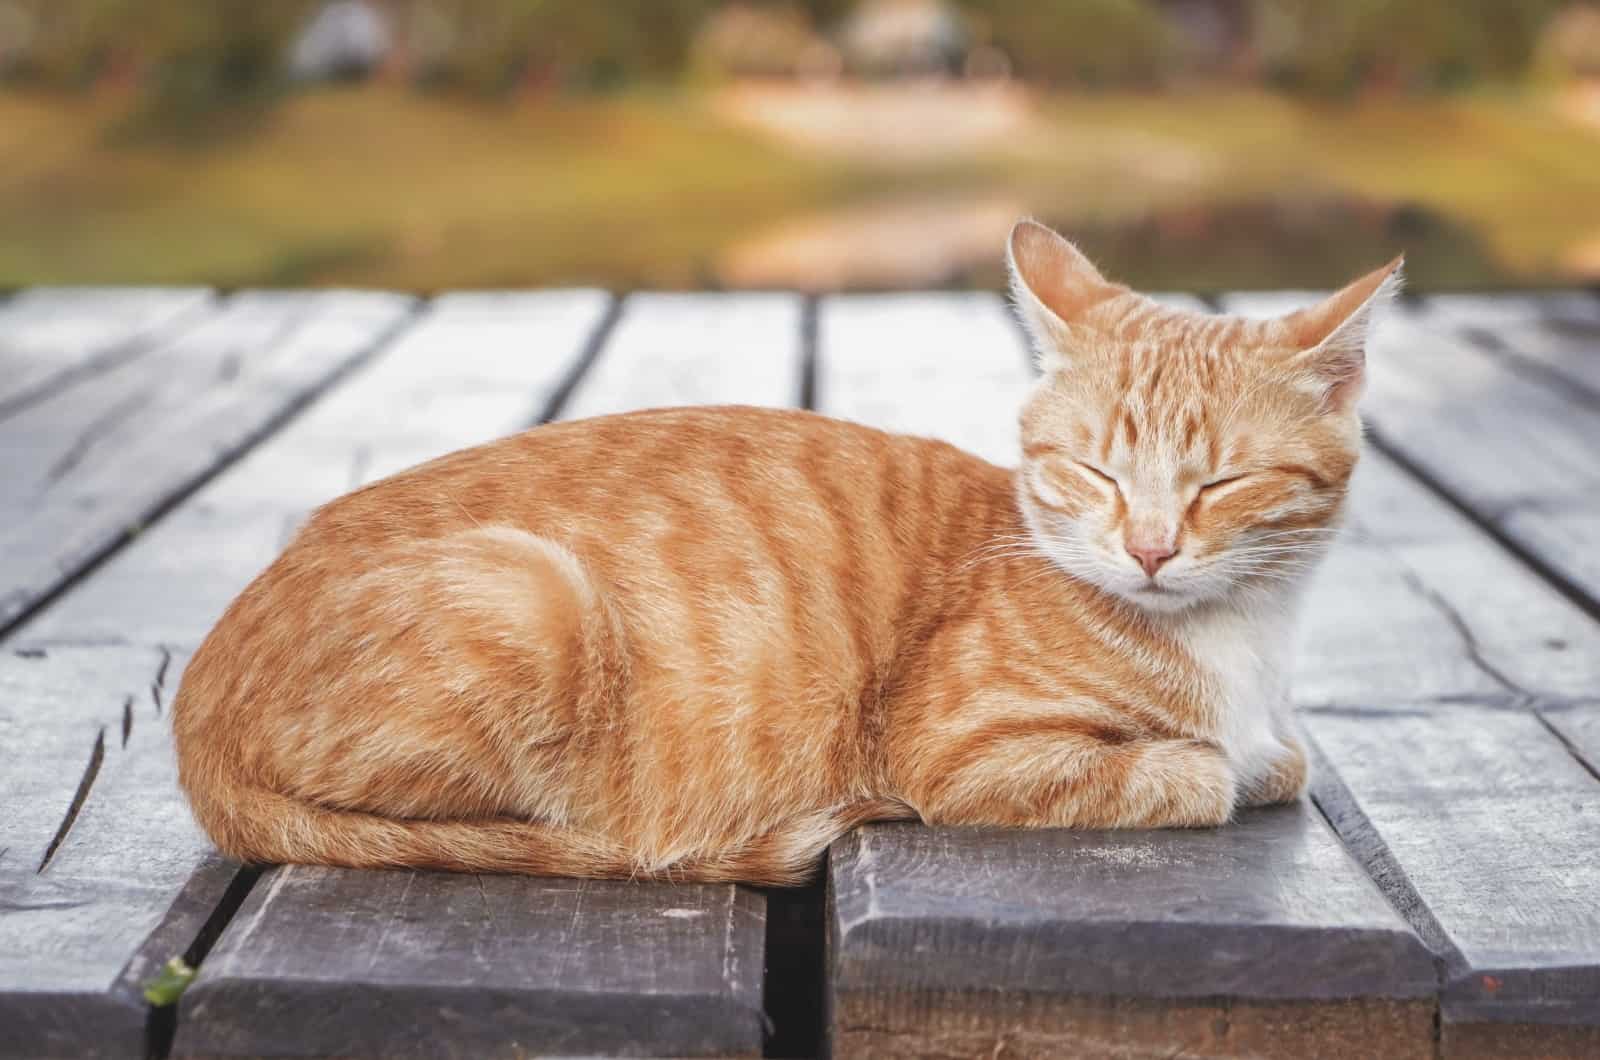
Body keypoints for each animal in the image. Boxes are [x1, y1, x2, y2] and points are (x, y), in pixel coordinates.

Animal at [175, 224, 1401, 890]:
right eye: (1094, 473)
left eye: (1220, 484)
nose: (1148, 549)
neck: (1241, 642)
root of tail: (196, 696)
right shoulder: (962, 755)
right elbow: (1200, 770)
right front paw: (1217, 758)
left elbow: (1278, 758)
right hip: (532, 600)